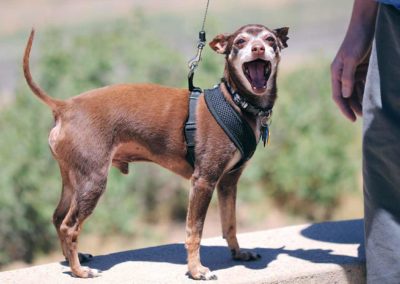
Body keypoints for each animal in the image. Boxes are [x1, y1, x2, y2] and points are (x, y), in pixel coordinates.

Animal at [22, 23, 288, 280]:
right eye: (240, 41)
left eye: (270, 39)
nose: (257, 48)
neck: (236, 103)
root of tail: (64, 107)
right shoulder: (203, 181)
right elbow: (194, 231)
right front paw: (196, 270)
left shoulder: (228, 182)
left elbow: (230, 223)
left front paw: (238, 253)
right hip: (92, 181)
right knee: (69, 226)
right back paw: (79, 271)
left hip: (72, 180)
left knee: (58, 217)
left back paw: (72, 259)